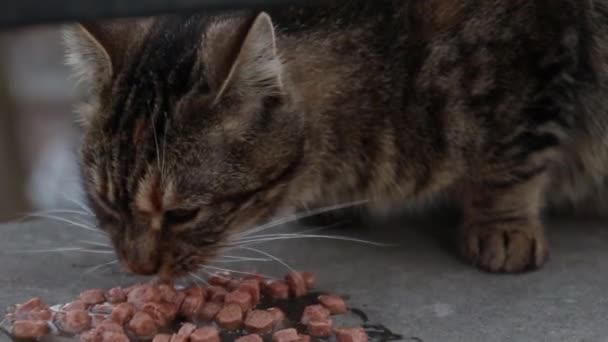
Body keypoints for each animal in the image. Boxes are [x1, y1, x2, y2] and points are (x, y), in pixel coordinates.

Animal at [63, 0, 608, 278]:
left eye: (182, 215)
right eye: (105, 204)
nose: (136, 268)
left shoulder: (536, 56)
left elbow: (511, 160)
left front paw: (502, 224)